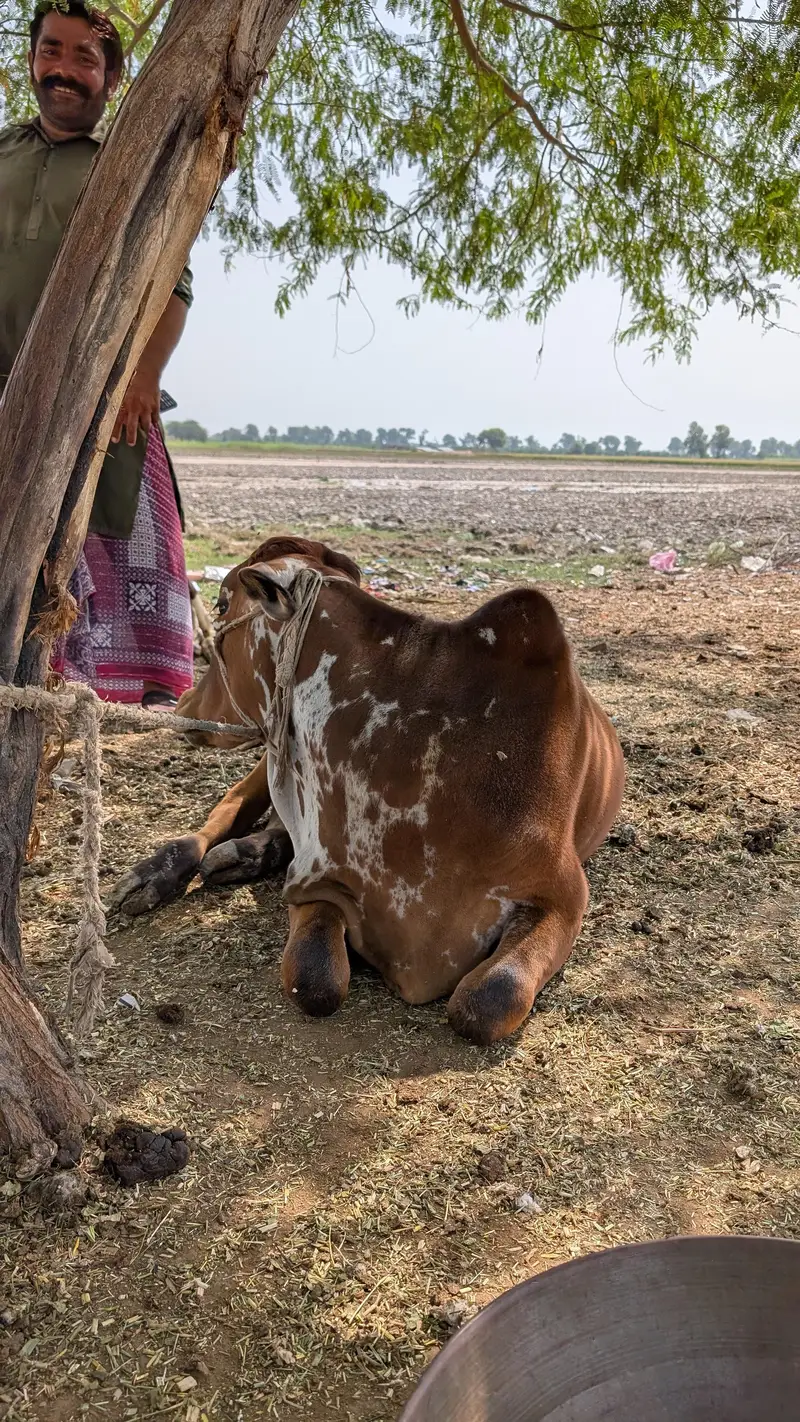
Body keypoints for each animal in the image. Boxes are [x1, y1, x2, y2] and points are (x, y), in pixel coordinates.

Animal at [112, 536, 624, 1044]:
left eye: (221, 603)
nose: (183, 701)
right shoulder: (319, 878)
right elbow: (314, 978)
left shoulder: (563, 894)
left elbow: (489, 1001)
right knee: (226, 813)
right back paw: (157, 874)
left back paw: (246, 855)